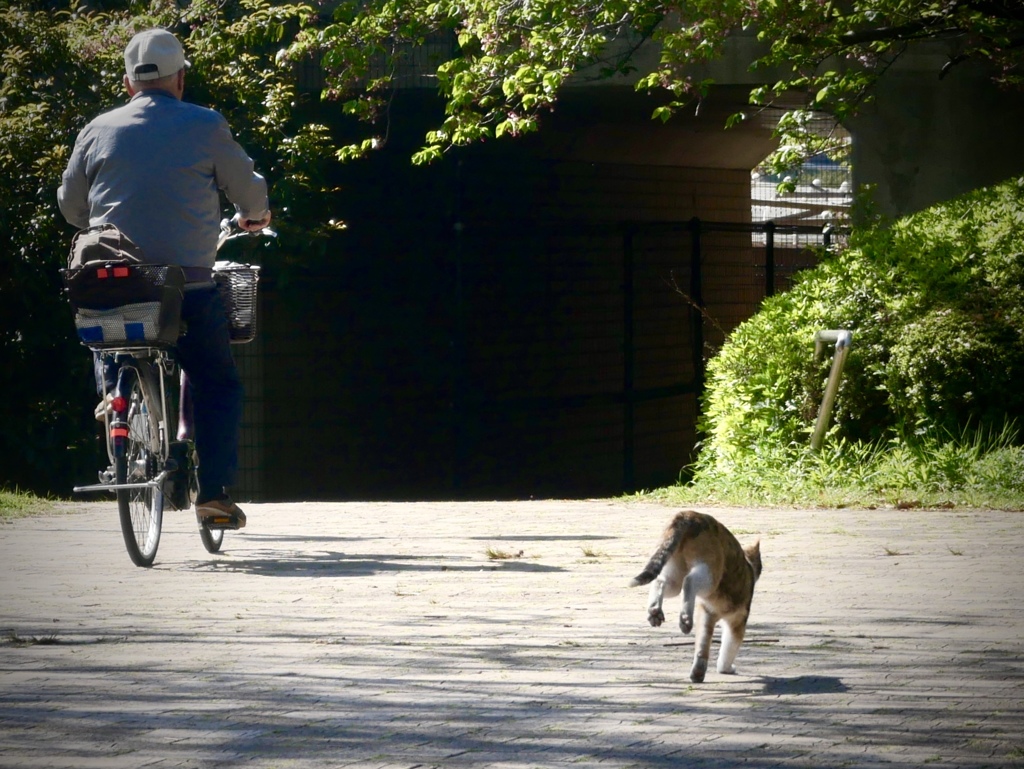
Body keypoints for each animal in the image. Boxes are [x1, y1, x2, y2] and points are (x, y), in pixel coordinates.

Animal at [626, 514, 765, 684]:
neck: (748, 566)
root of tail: (689, 514)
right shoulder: (736, 620)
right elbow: (729, 647)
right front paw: (726, 668)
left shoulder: (706, 613)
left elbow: (702, 645)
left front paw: (698, 672)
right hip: (710, 572)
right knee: (689, 581)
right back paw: (685, 619)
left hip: (675, 571)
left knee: (660, 581)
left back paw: (655, 611)